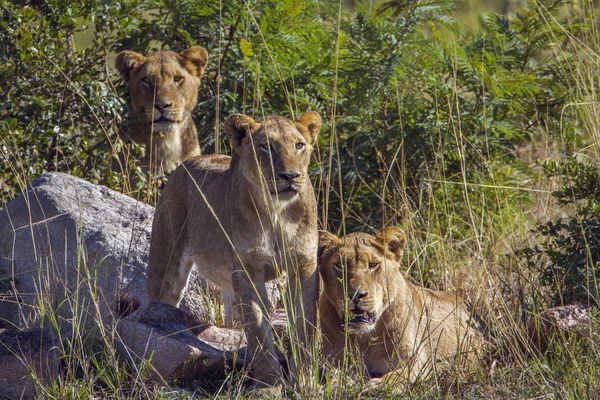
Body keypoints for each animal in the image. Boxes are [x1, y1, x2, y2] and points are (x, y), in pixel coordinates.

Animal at [147, 111, 322, 392]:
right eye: (266, 146)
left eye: (299, 145)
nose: (290, 176)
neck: (275, 211)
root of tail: (188, 163)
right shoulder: (248, 269)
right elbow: (258, 330)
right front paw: (268, 384)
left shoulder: (304, 266)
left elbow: (305, 327)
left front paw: (304, 382)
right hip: (166, 261)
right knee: (160, 301)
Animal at [318, 227, 482, 390]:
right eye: (339, 265)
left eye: (373, 265)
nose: (355, 295)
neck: (365, 337)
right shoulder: (333, 360)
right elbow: (331, 376)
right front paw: (337, 384)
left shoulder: (415, 360)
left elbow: (399, 374)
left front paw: (378, 384)